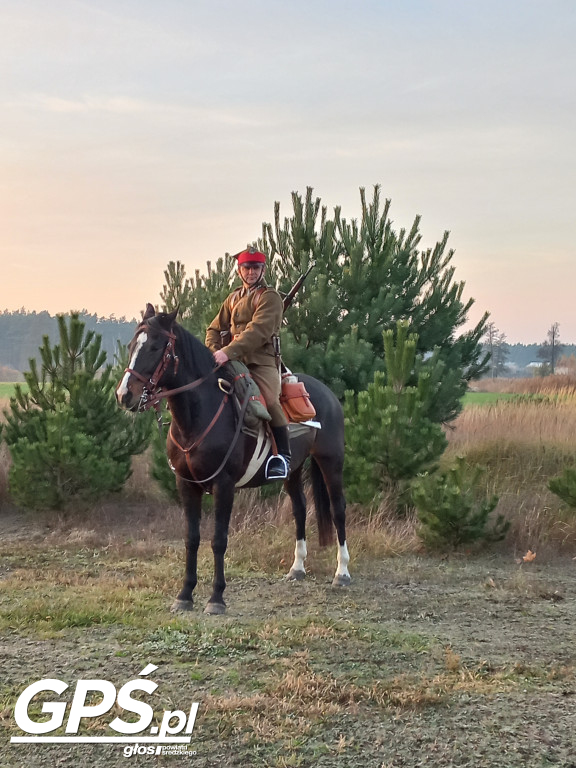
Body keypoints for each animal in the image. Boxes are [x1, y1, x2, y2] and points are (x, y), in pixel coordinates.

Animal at [115, 304, 348, 612]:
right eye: (132, 345)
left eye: (155, 347)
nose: (123, 395)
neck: (197, 417)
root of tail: (328, 394)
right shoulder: (185, 486)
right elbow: (191, 538)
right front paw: (185, 594)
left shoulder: (223, 486)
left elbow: (218, 540)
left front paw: (216, 598)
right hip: (294, 470)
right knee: (300, 509)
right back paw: (297, 568)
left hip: (331, 462)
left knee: (338, 510)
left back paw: (342, 573)